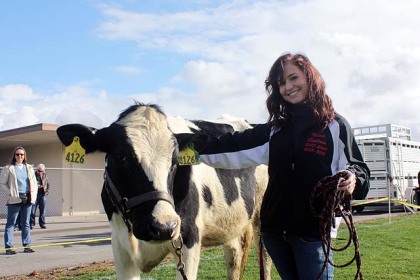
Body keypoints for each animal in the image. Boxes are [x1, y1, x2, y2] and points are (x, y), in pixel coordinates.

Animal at [55, 101, 270, 278]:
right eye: (121, 157)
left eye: (175, 161)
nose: (164, 226)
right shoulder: (120, 246)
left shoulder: (189, 239)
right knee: (234, 258)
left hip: (262, 218)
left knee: (265, 259)